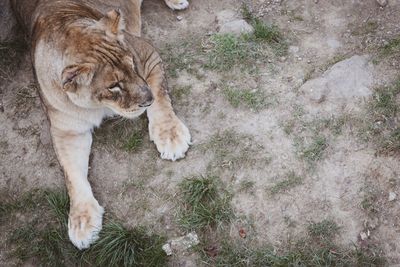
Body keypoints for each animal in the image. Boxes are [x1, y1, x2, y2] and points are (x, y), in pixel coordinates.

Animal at [12, 0, 192, 250]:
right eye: (114, 85)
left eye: (132, 65)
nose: (147, 100)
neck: (98, 105)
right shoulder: (67, 131)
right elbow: (71, 174)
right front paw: (81, 221)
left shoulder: (148, 54)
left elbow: (161, 96)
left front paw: (170, 135)